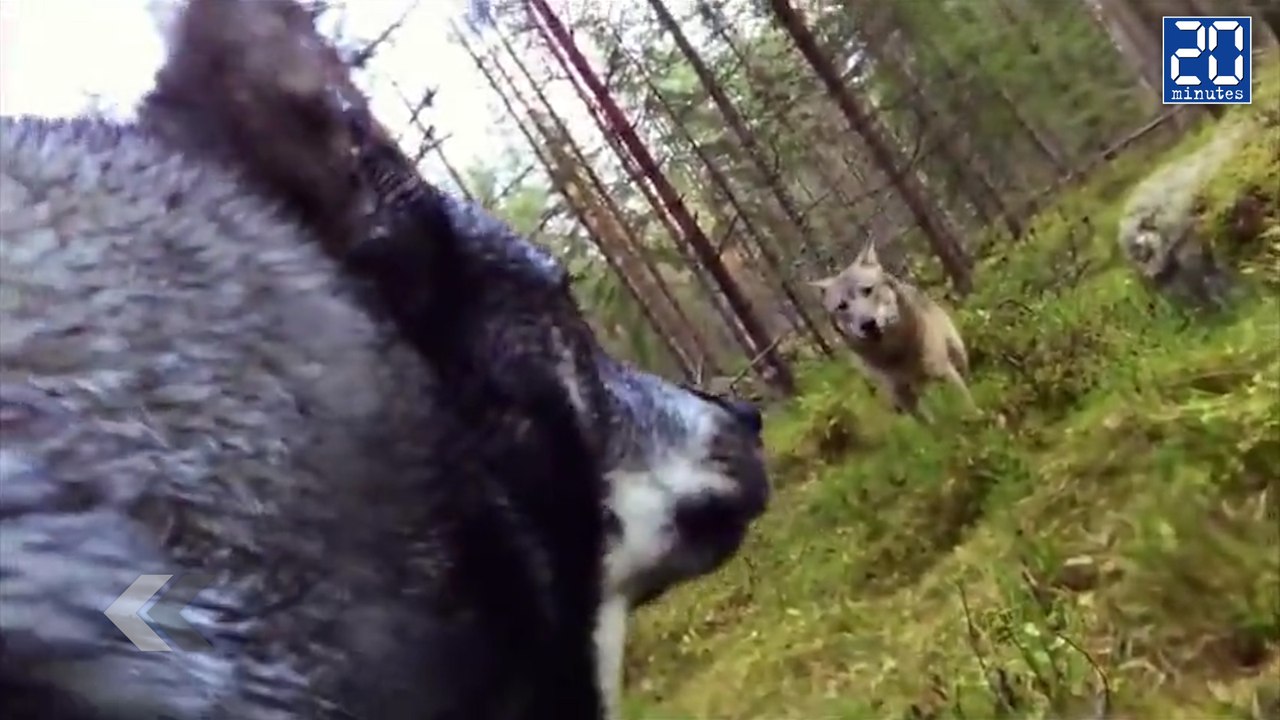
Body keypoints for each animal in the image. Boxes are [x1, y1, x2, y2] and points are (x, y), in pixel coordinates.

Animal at [809, 241, 974, 422]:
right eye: (842, 306)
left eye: (867, 290)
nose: (867, 324)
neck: (895, 353)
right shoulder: (903, 397)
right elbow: (931, 426)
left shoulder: (943, 371)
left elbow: (968, 407)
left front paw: (976, 418)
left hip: (957, 356)